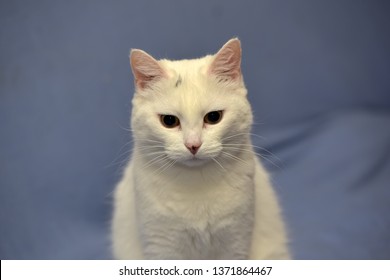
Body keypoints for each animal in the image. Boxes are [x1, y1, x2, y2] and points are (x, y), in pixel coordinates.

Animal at [111, 38, 288, 260]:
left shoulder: (236, 242)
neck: (196, 184)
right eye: (169, 121)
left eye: (213, 117)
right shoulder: (161, 246)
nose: (193, 144)